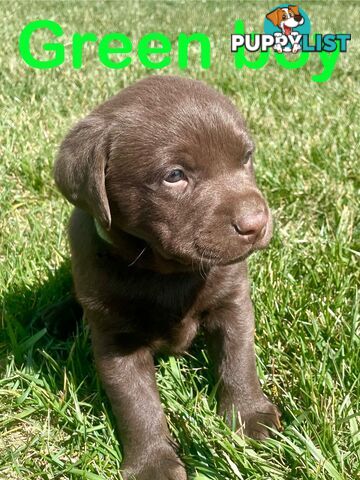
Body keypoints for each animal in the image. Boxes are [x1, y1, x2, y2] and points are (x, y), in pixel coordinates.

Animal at [54, 77, 282, 478]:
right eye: (174, 176)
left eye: (246, 157)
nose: (256, 223)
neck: (167, 273)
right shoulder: (116, 339)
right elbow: (137, 405)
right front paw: (152, 465)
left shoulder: (232, 303)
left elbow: (238, 360)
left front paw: (249, 418)